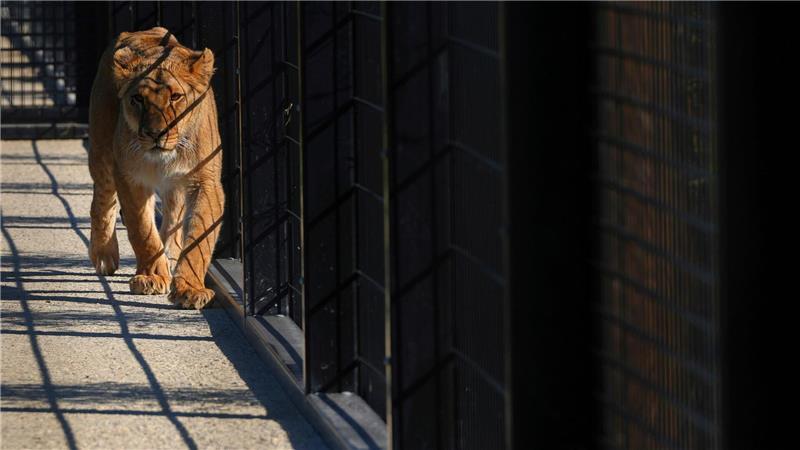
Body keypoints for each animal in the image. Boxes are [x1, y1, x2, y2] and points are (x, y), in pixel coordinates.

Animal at [87, 27, 224, 309]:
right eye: (138, 99)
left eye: (176, 97)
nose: (154, 134)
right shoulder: (130, 178)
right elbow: (143, 231)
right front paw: (151, 277)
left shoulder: (205, 181)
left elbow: (199, 239)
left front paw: (190, 289)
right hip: (102, 153)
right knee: (102, 203)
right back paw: (105, 255)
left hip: (175, 187)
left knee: (172, 217)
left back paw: (170, 257)